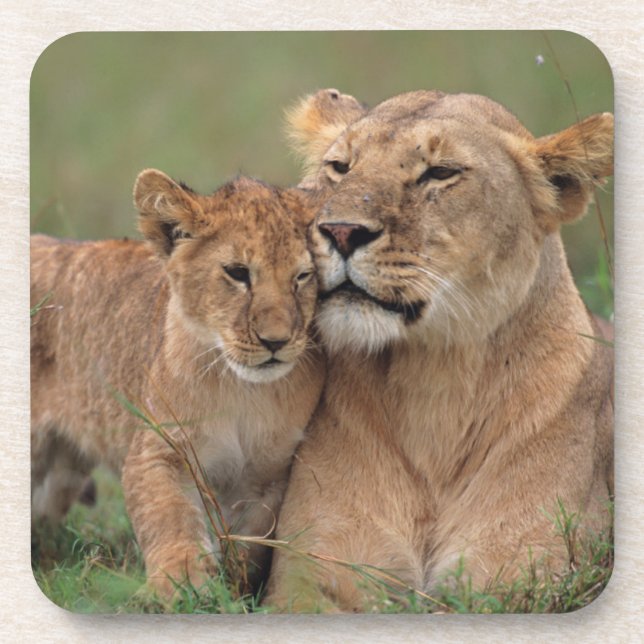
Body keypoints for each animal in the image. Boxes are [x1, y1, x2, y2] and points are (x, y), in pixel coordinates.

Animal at [30, 170, 325, 600]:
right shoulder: (158, 450)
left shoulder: (268, 477)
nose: (276, 341)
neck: (243, 390)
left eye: (303, 277)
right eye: (238, 272)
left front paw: (233, 589)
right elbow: (171, 518)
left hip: (59, 475)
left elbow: (249, 542)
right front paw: (179, 585)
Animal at [266, 89, 614, 611]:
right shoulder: (311, 575)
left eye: (441, 172)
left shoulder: (528, 578)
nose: (341, 231)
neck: (434, 384)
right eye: (340, 167)